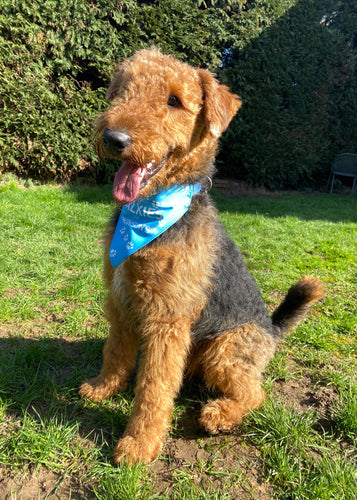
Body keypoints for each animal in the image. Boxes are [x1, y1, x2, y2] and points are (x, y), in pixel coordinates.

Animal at [79, 47, 324, 464]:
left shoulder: (167, 319)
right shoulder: (121, 300)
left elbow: (153, 388)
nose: (114, 138)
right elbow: (115, 354)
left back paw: (218, 415)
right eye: (125, 89)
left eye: (174, 100)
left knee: (255, 392)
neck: (151, 214)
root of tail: (272, 330)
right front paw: (101, 388)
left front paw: (138, 445)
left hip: (224, 351)